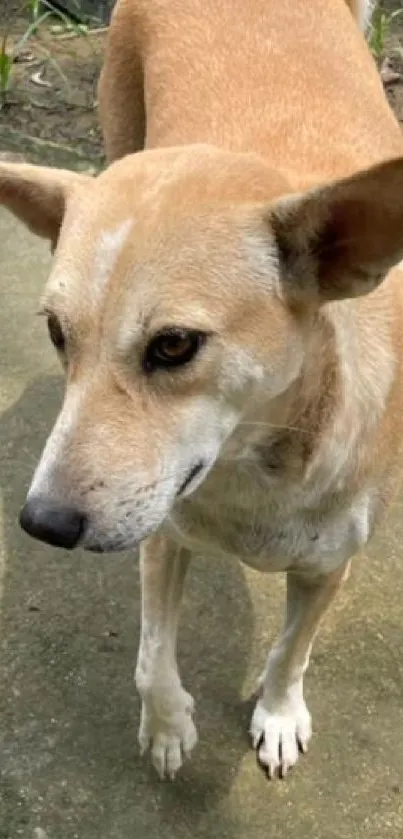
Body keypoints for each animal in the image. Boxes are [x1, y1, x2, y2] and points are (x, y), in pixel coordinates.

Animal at [0, 0, 403, 780]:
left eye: (174, 345)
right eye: (58, 332)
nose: (43, 523)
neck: (257, 468)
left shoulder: (329, 567)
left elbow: (292, 650)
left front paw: (277, 714)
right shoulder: (159, 533)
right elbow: (150, 659)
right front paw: (166, 727)